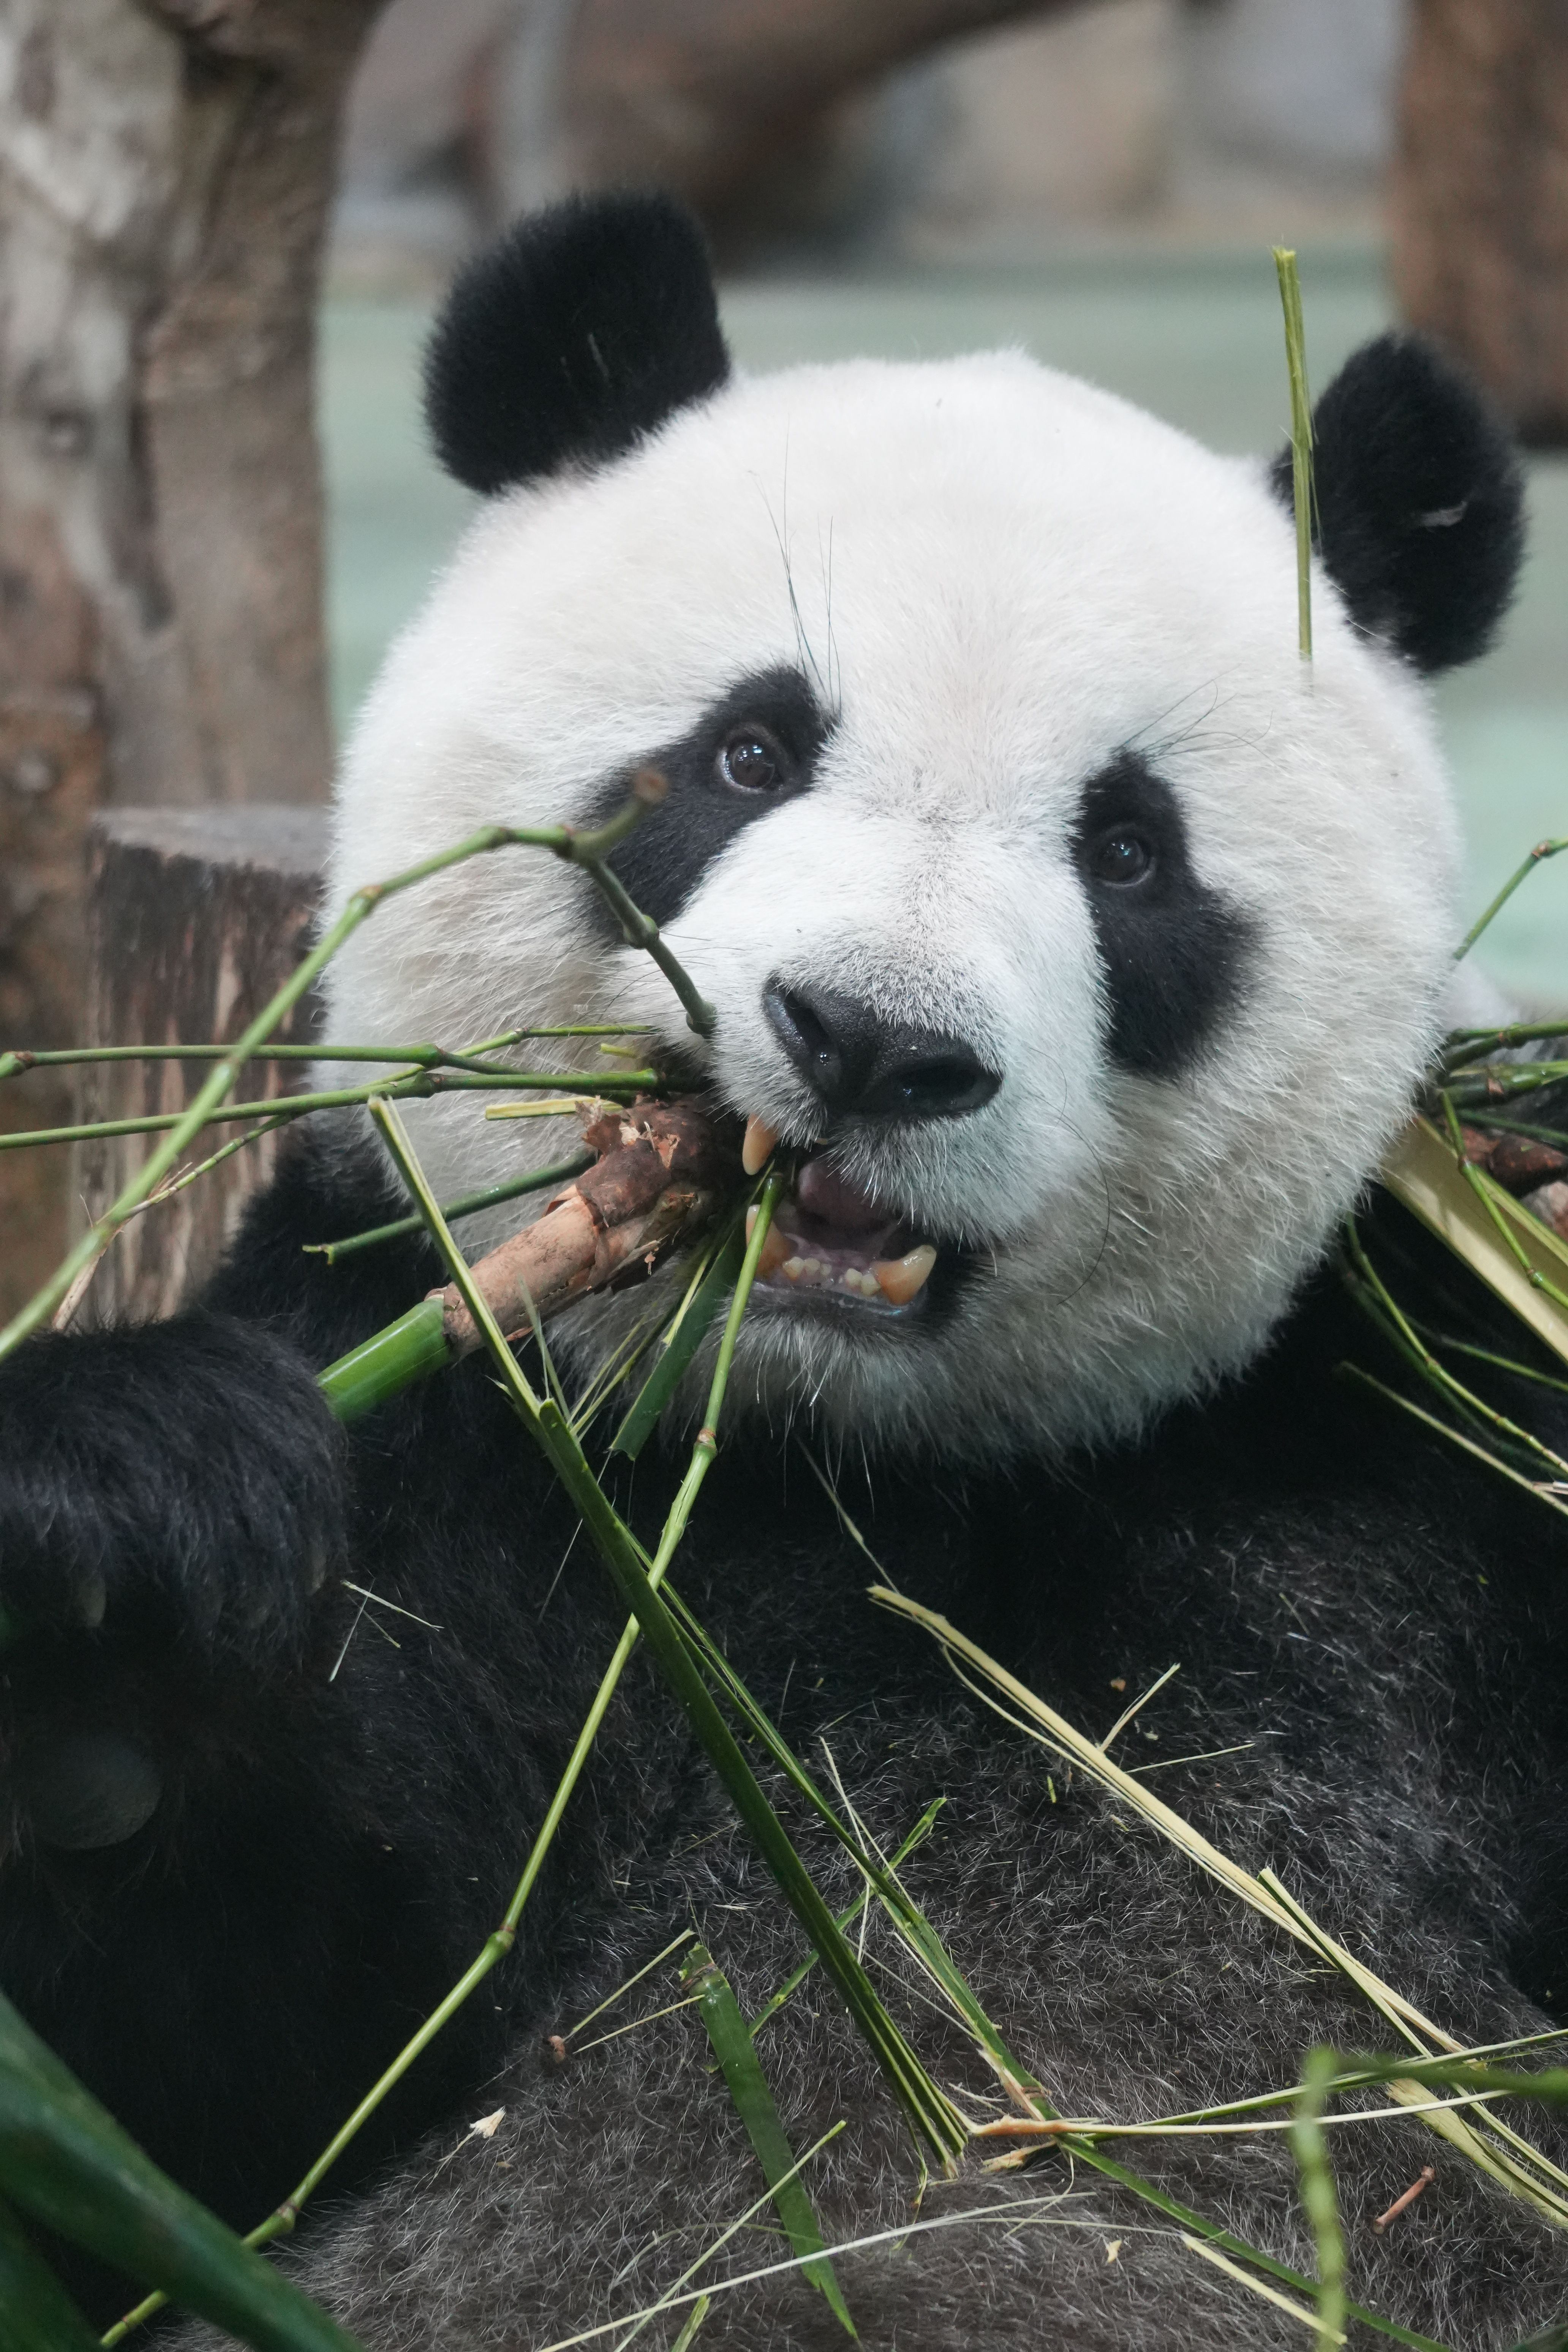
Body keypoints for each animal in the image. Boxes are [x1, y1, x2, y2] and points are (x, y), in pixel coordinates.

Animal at [2, 190, 1566, 2351]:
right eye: (748, 749)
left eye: (1130, 853)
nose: (871, 1040)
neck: (845, 1461)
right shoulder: (445, 1414)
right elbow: (213, 2086)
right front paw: (110, 1543)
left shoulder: (1404, 1442)